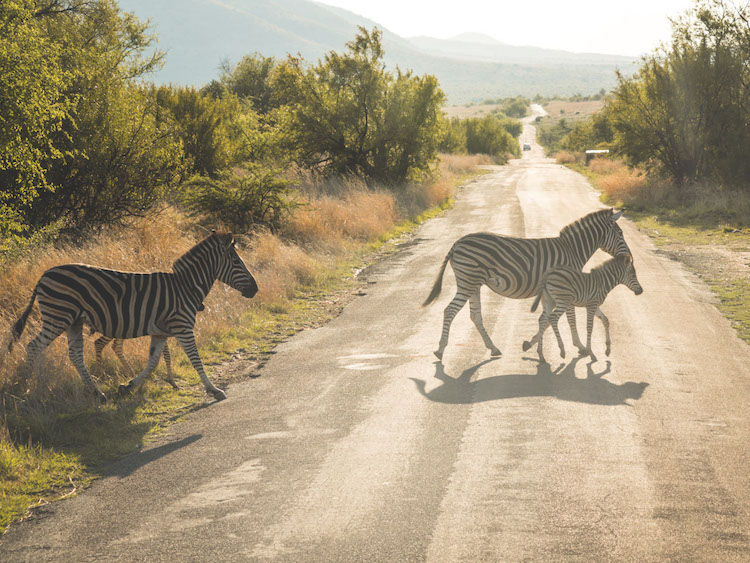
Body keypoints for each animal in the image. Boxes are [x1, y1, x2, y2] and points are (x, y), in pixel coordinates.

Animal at [5, 231, 260, 404]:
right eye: (236, 261)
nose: (255, 289)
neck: (185, 287)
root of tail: (44, 275)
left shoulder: (160, 332)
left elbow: (153, 362)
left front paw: (128, 386)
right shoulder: (183, 326)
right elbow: (195, 359)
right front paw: (214, 389)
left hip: (73, 322)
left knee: (75, 355)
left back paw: (98, 394)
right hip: (58, 316)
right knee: (34, 346)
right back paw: (23, 385)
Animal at [426, 208, 632, 362]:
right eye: (620, 234)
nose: (629, 257)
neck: (572, 250)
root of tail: (457, 242)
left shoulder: (559, 291)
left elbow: (547, 320)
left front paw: (531, 344)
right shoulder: (567, 287)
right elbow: (568, 319)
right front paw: (579, 346)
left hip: (473, 284)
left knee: (475, 316)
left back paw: (492, 348)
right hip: (468, 281)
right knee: (450, 310)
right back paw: (440, 349)